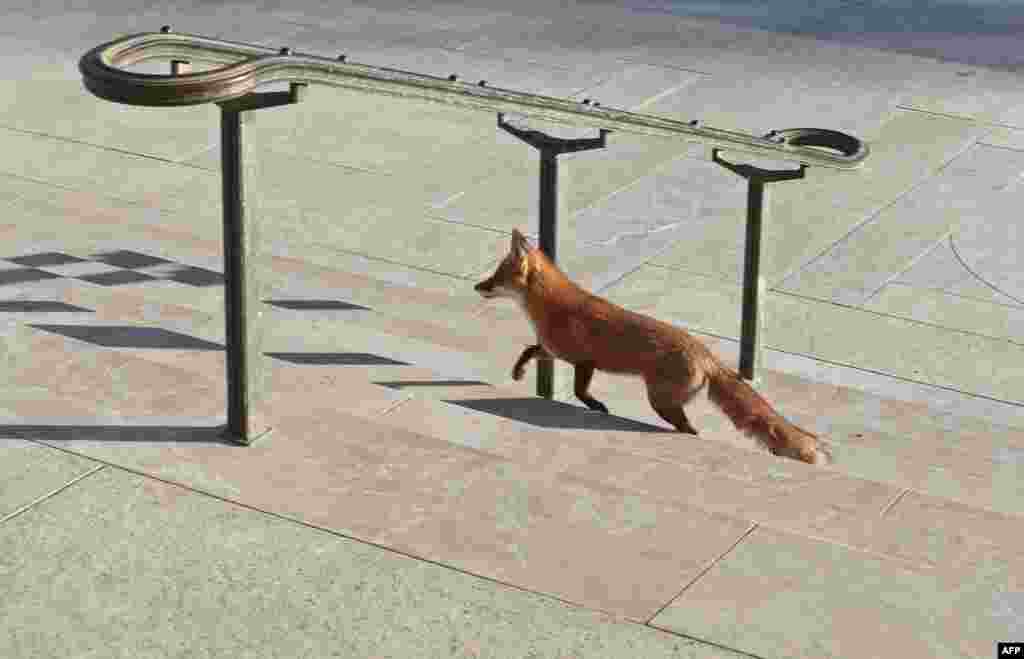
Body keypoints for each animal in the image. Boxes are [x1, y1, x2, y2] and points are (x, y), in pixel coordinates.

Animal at [475, 229, 827, 466]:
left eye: (496, 278)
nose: (478, 286)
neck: (549, 307)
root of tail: (706, 354)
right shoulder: (553, 350)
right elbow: (528, 351)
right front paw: (518, 372)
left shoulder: (584, 360)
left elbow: (579, 391)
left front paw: (598, 407)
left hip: (660, 402)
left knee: (690, 429)